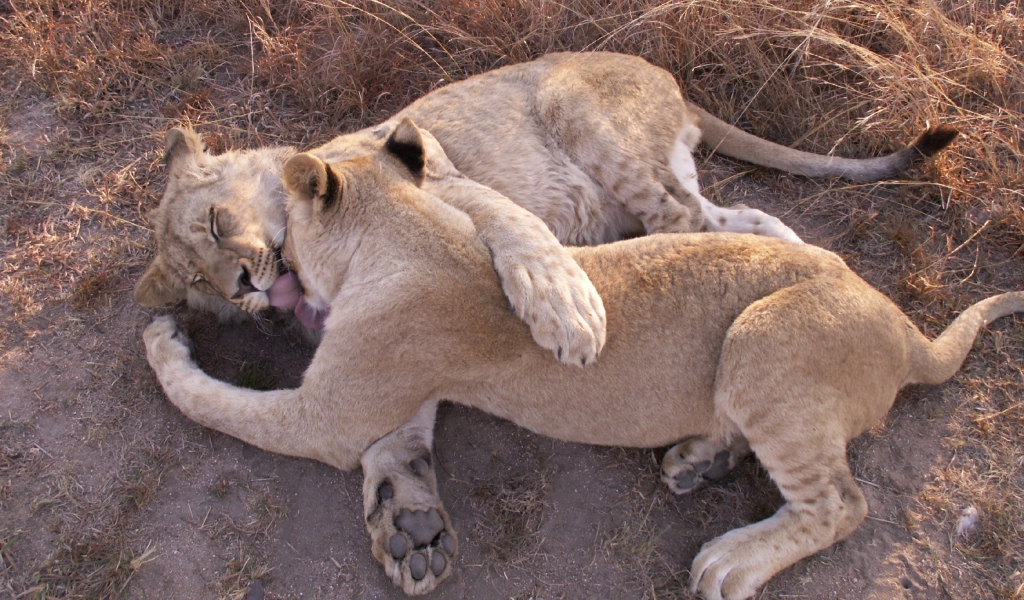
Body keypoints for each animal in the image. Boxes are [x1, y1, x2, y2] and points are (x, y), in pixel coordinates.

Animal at [144, 117, 1024, 597]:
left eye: (227, 228)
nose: (257, 283)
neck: (404, 228)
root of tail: (906, 328)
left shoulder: (326, 413)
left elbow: (216, 402)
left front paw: (160, 340)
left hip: (763, 340)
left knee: (842, 503)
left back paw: (729, 561)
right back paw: (698, 461)